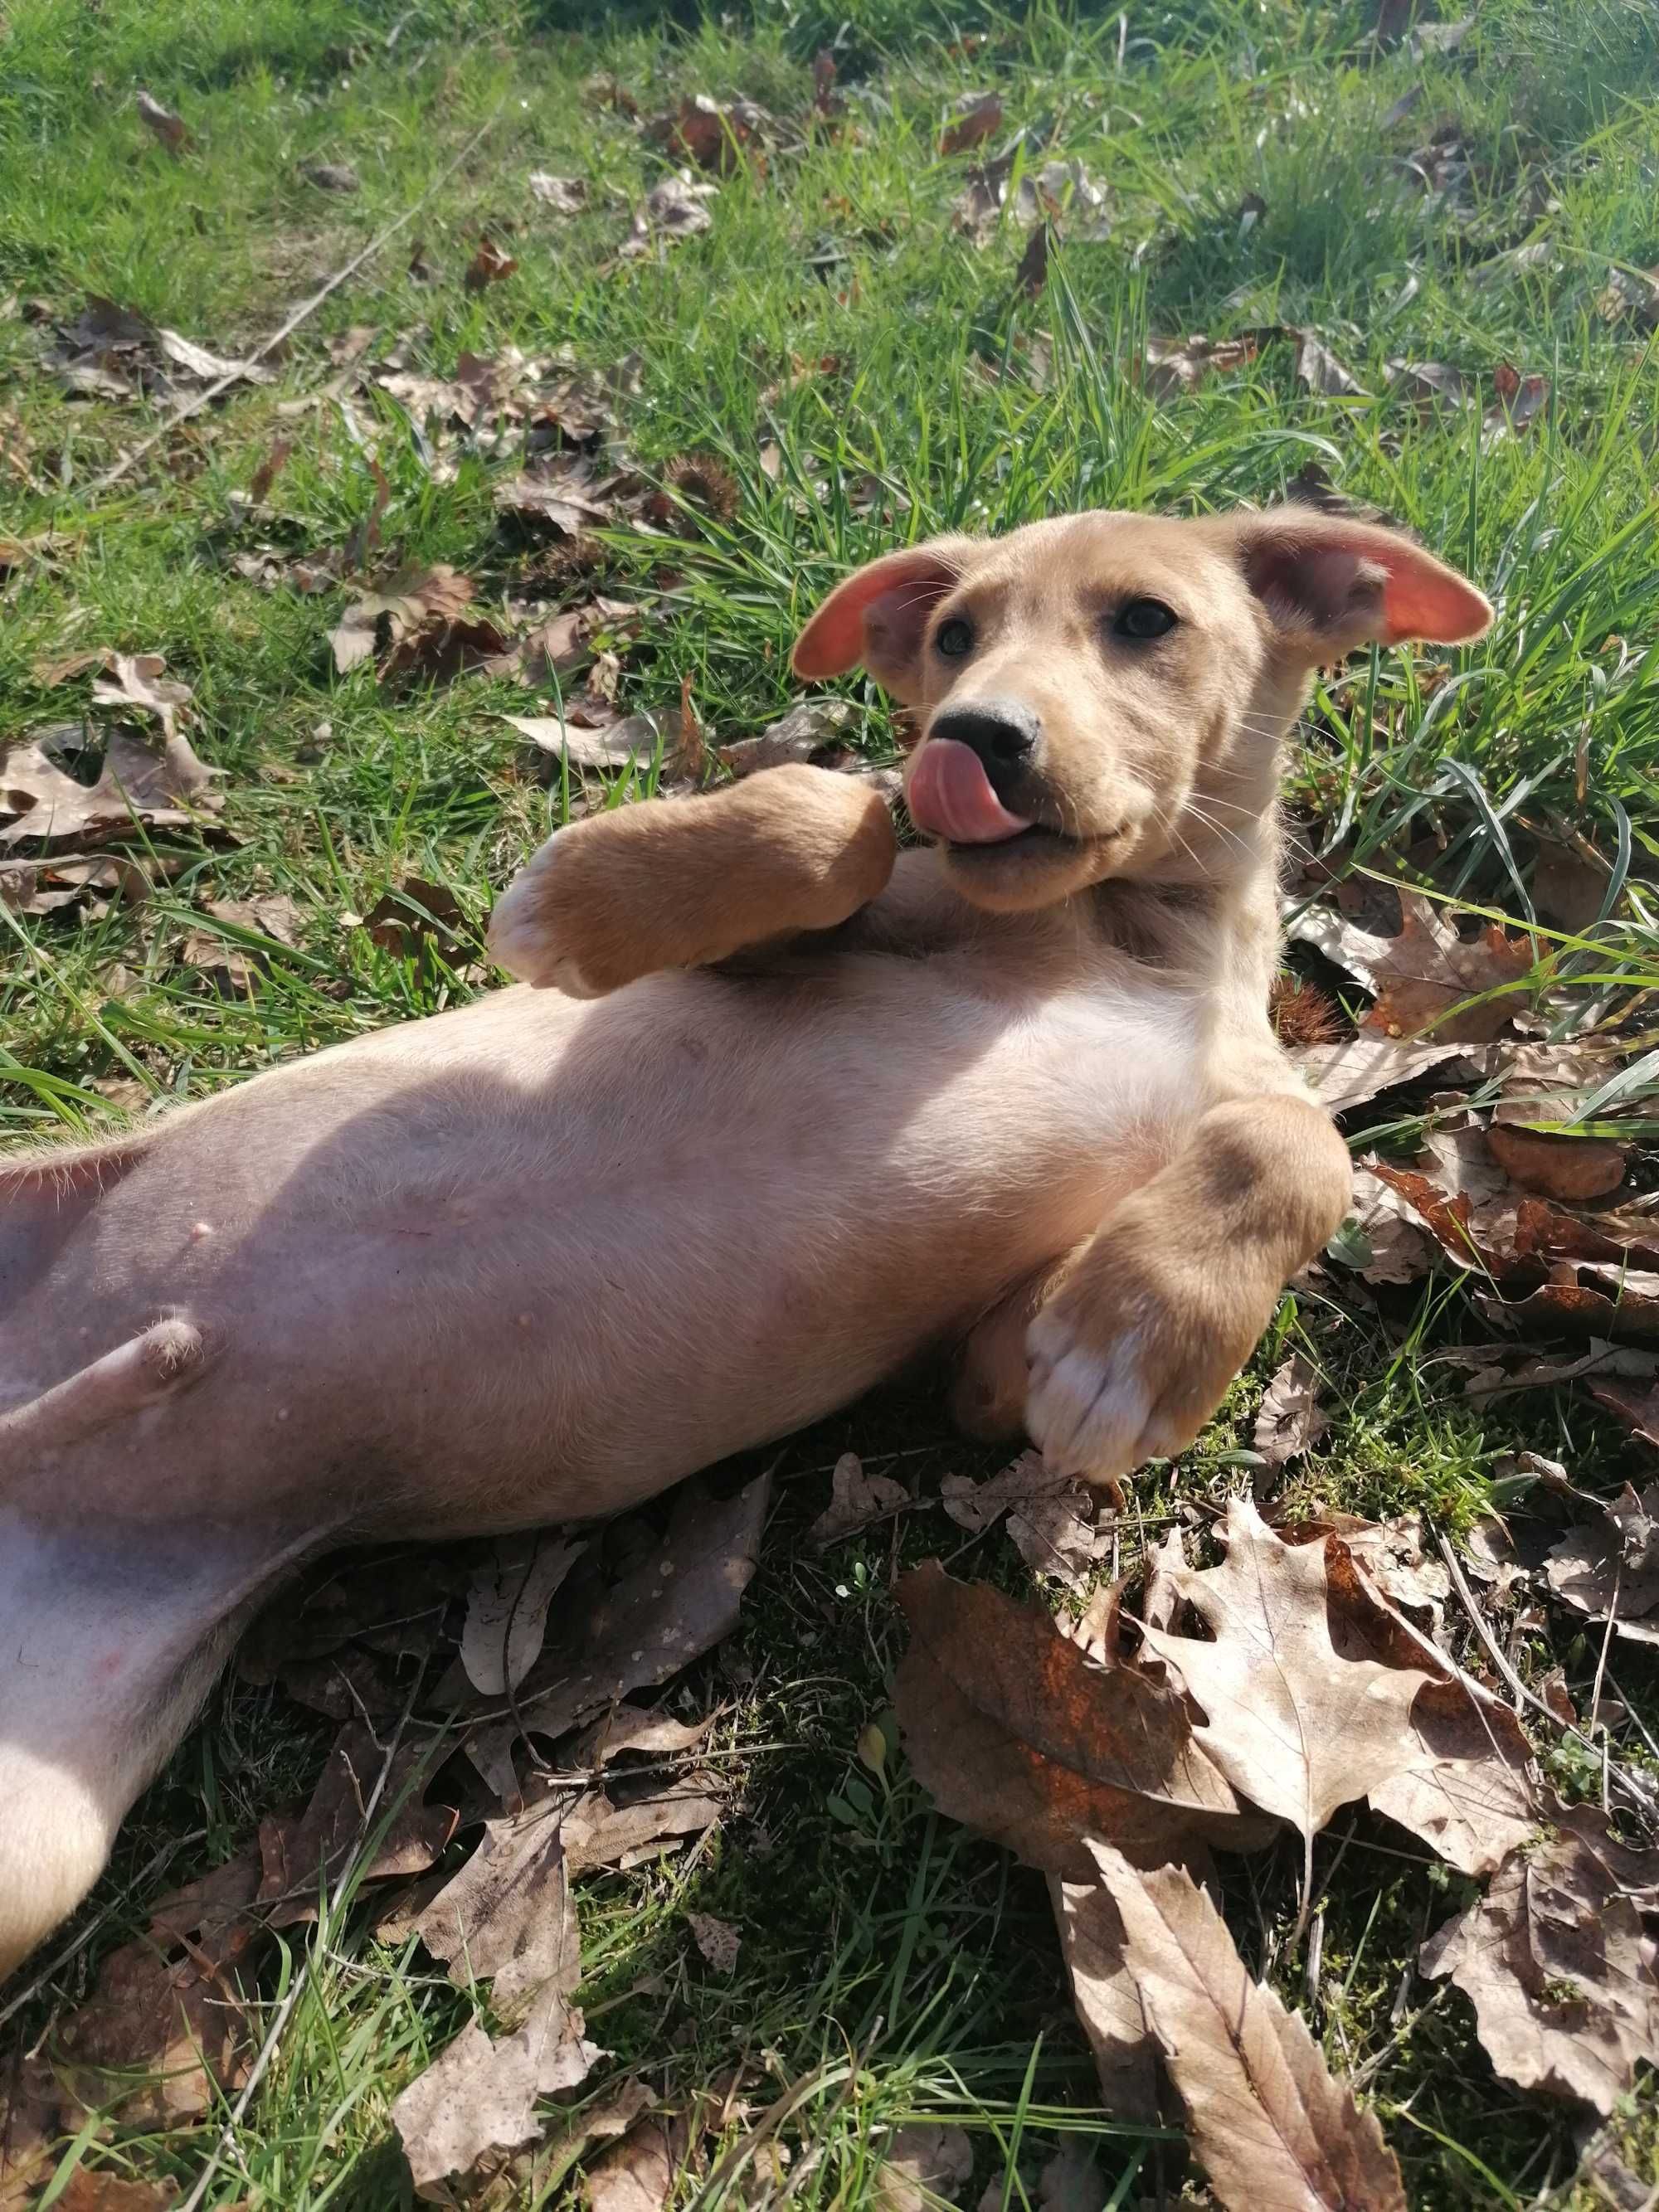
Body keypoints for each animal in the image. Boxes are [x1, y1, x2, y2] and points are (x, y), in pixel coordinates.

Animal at [0, 502, 1486, 1972]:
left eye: (1144, 619)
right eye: (955, 637)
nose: (971, 740)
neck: (1140, 939)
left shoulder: (987, 1361)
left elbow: (1302, 1146)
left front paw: (1135, 1340)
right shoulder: (795, 948)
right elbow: (838, 815)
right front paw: (574, 896)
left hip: (36, 1841)